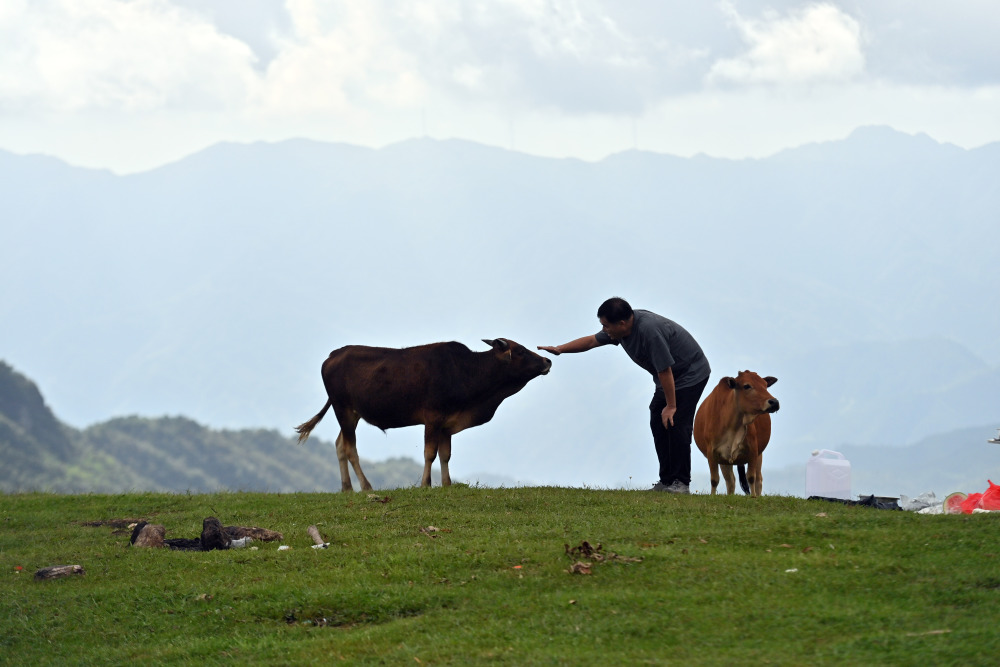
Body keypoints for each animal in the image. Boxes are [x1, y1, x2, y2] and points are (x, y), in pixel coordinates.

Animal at [296, 340, 552, 490]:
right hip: (343, 409)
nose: (547, 360)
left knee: (340, 445)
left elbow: (445, 455)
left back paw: (347, 488)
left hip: (352, 413)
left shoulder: (447, 424)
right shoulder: (433, 417)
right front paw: (425, 485)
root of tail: (332, 355)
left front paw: (447, 484)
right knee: (350, 449)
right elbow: (430, 453)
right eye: (520, 351)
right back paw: (366, 487)